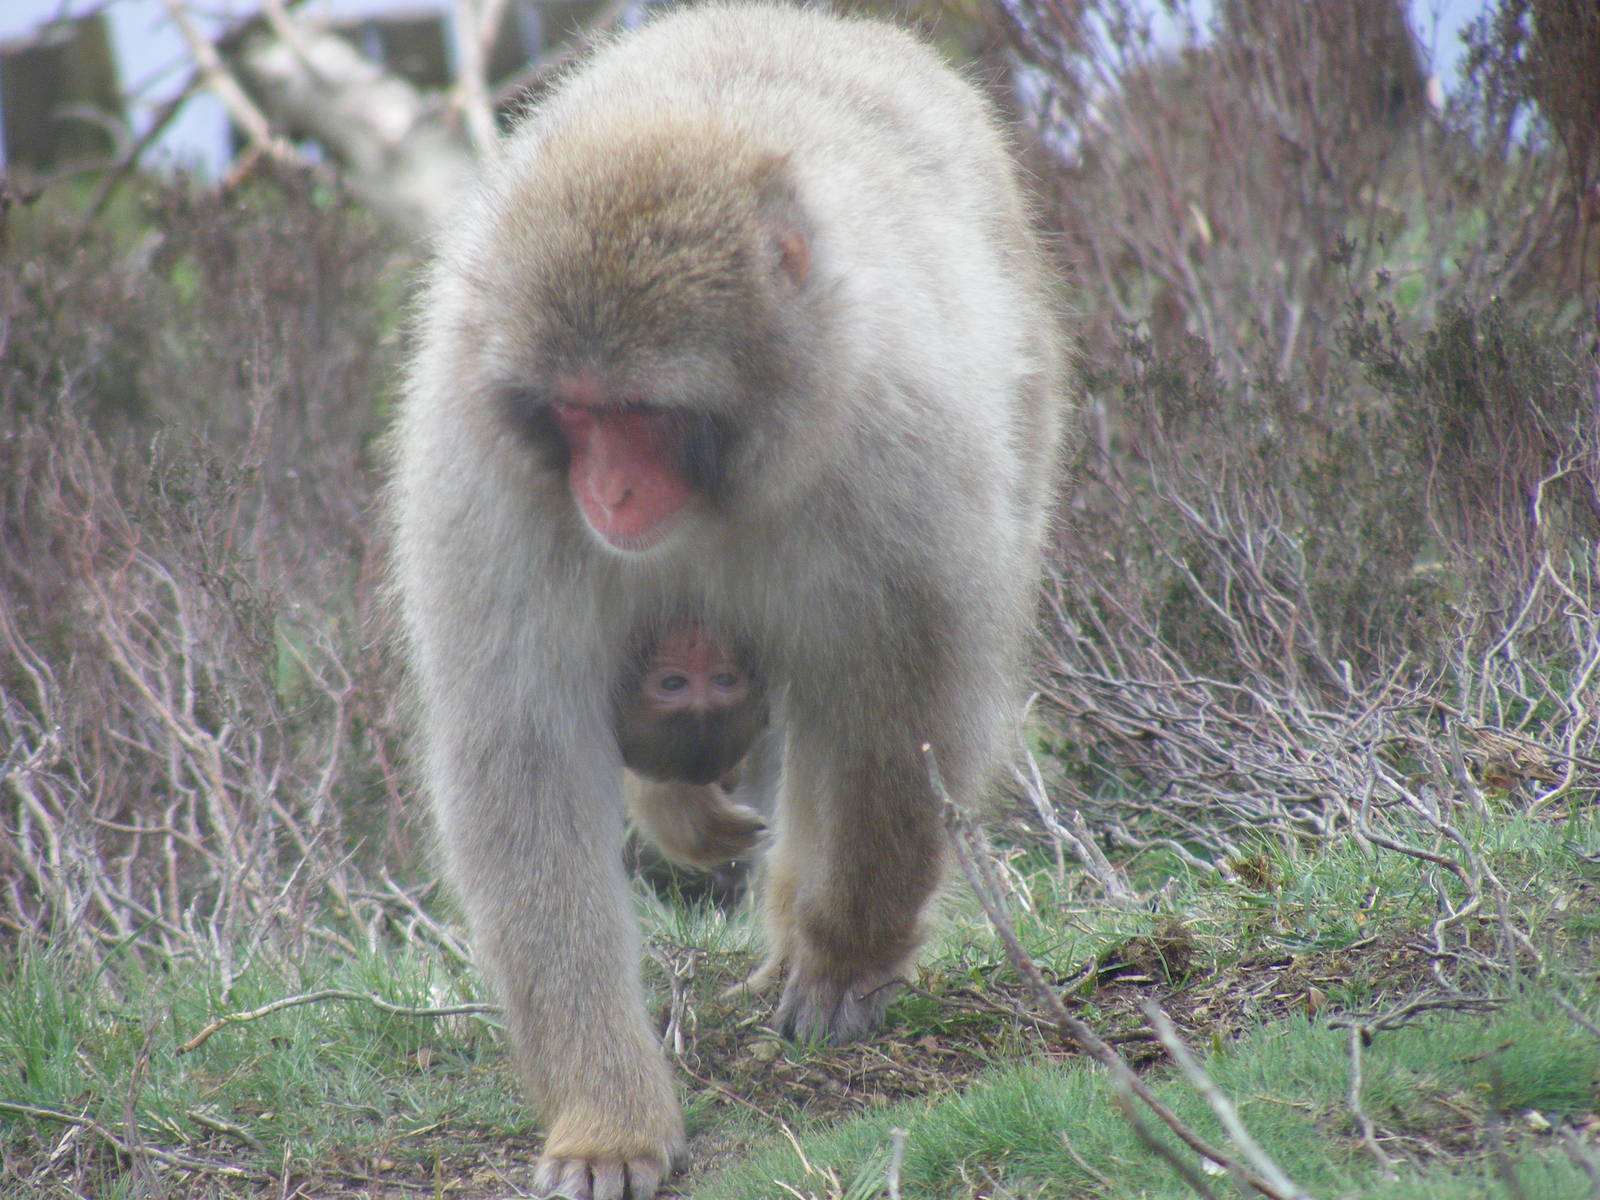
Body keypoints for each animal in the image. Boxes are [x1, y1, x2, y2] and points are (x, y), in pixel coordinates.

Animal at [389, 5, 1071, 1198]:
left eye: (642, 414)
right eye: (576, 413)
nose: (608, 491)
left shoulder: (901, 442)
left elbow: (908, 702)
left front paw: (845, 951)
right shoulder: (486, 479)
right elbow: (518, 748)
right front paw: (605, 1112)